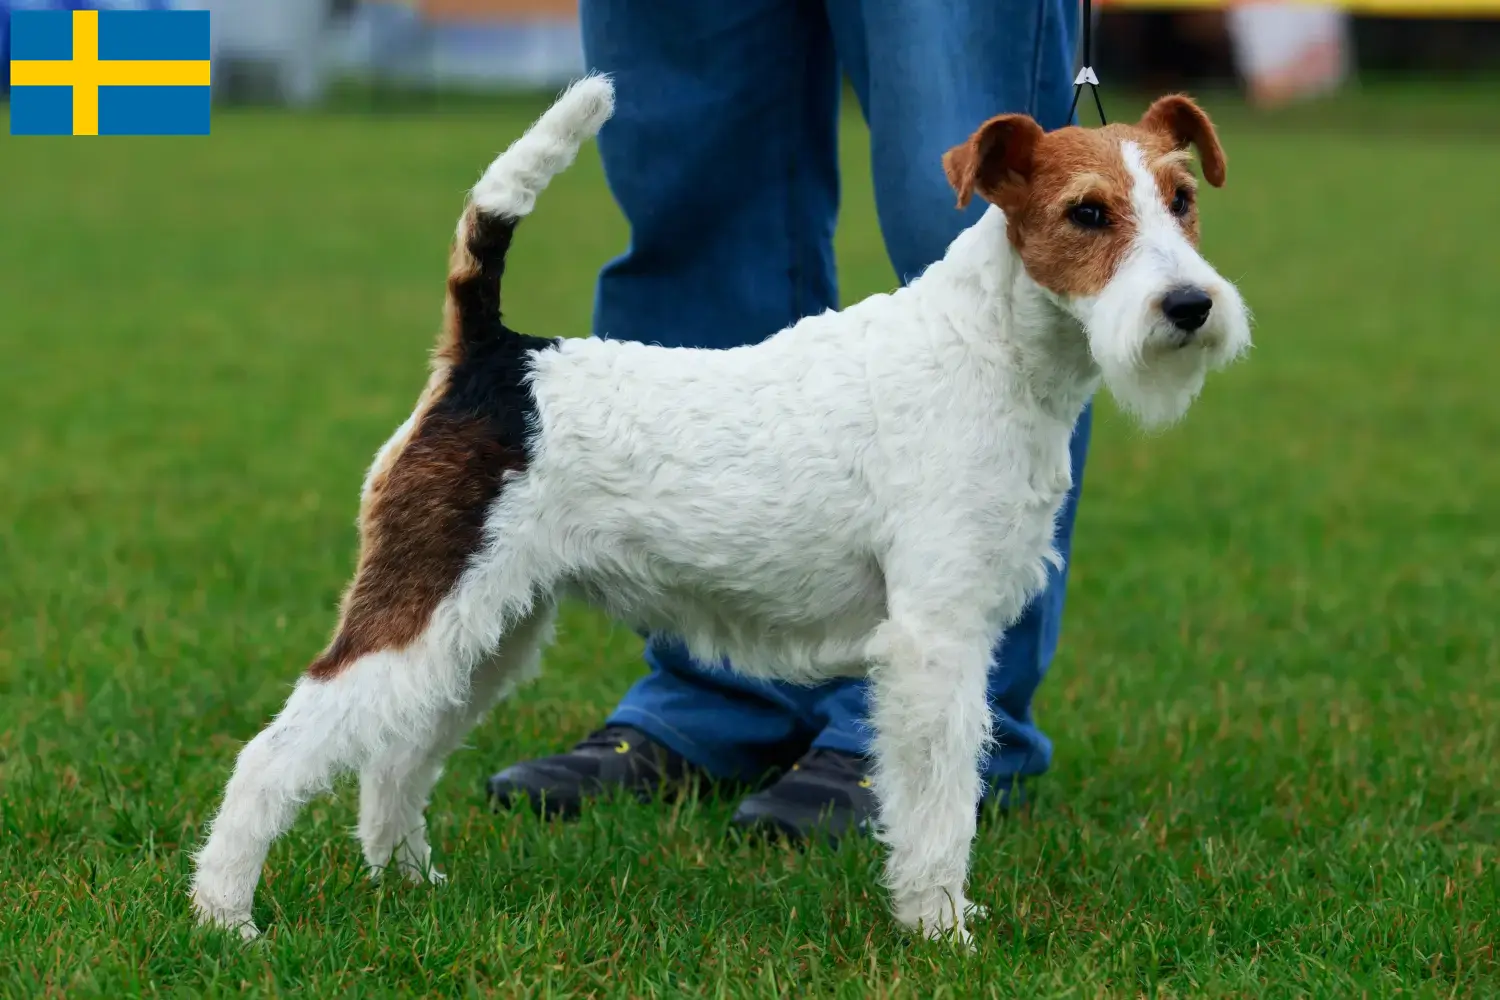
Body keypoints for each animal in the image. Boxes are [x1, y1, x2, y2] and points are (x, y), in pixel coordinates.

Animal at [190, 76, 1254, 947]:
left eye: (1184, 198)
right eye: (1088, 212)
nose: (1190, 307)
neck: (988, 352)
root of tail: (491, 353)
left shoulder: (958, 628)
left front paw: (940, 917)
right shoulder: (936, 640)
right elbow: (939, 804)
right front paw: (941, 927)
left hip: (489, 624)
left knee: (397, 757)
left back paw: (410, 883)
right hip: (427, 596)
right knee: (276, 754)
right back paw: (225, 917)